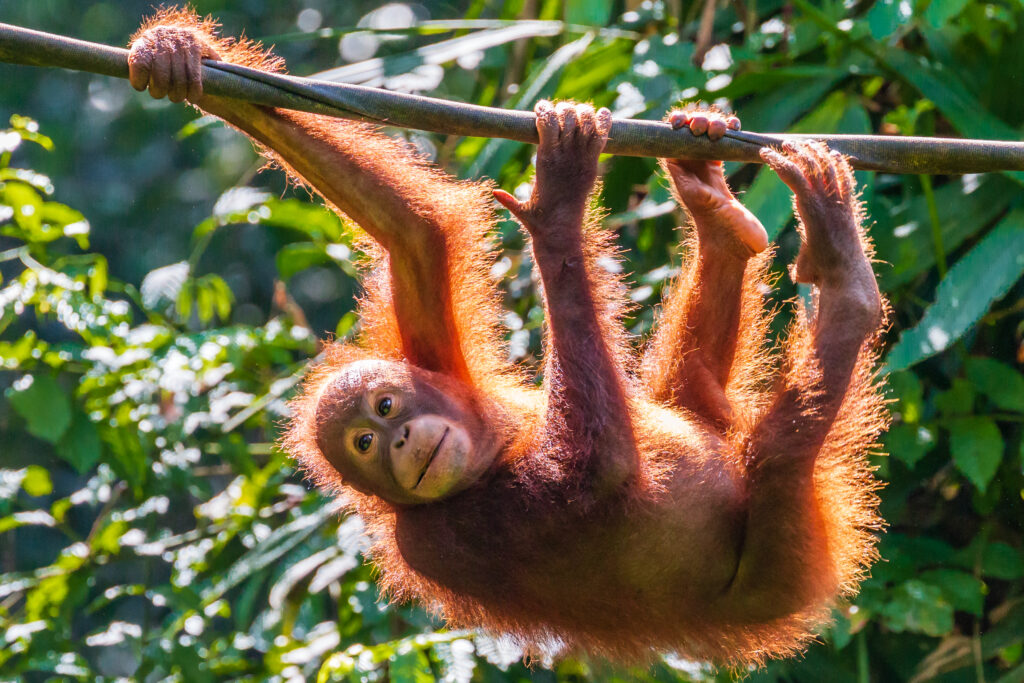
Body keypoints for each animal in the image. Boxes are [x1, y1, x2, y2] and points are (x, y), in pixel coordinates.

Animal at [127, 9, 887, 665]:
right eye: (365, 446)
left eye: (385, 407)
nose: (399, 443)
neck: (493, 446)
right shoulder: (437, 539)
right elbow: (597, 472)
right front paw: (554, 212)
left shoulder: (435, 359)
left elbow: (415, 232)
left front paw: (181, 57)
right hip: (787, 564)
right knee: (776, 456)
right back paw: (844, 280)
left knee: (696, 396)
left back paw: (716, 209)